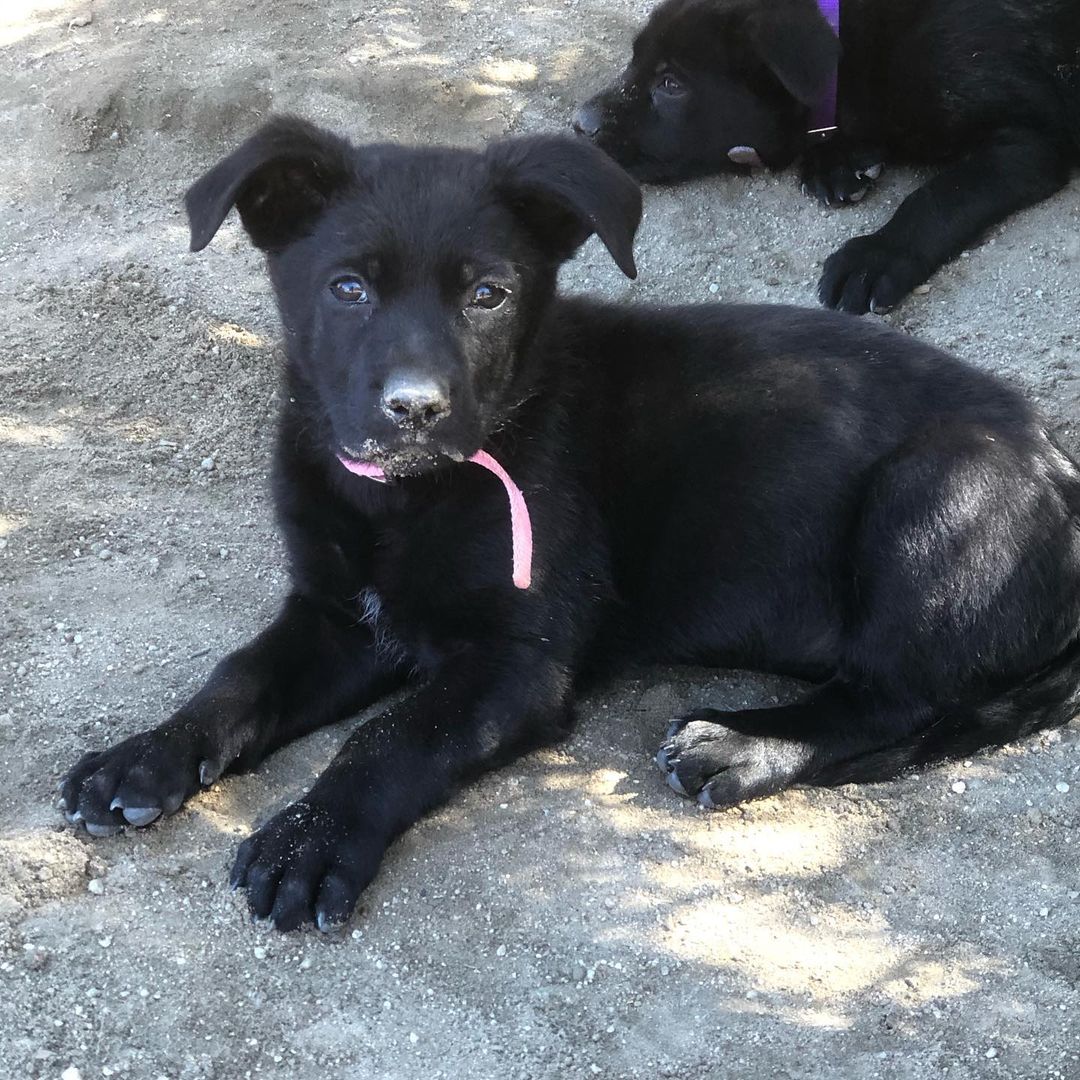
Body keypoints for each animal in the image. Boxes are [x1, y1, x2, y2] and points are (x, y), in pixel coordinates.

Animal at [63, 116, 1080, 928]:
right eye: (348, 289)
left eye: (488, 294)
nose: (415, 410)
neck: (404, 496)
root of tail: (1058, 471)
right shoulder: (336, 614)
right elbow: (239, 678)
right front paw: (144, 757)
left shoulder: (520, 660)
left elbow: (388, 738)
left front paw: (310, 838)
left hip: (942, 485)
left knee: (898, 701)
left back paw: (739, 745)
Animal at [574, 0, 1080, 315]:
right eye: (634, 58)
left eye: (671, 83)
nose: (580, 124)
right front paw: (838, 160)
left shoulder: (1029, 138)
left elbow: (939, 197)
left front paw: (876, 256)